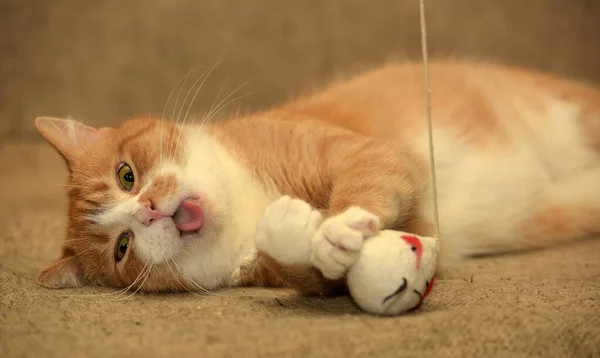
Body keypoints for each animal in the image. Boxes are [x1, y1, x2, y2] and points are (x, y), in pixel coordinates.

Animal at [32, 60, 600, 296]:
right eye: (122, 248)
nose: (148, 209)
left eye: (126, 175)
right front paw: (301, 239)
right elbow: (313, 275)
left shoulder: (365, 152)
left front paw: (338, 224)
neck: (247, 201)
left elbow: (363, 185)